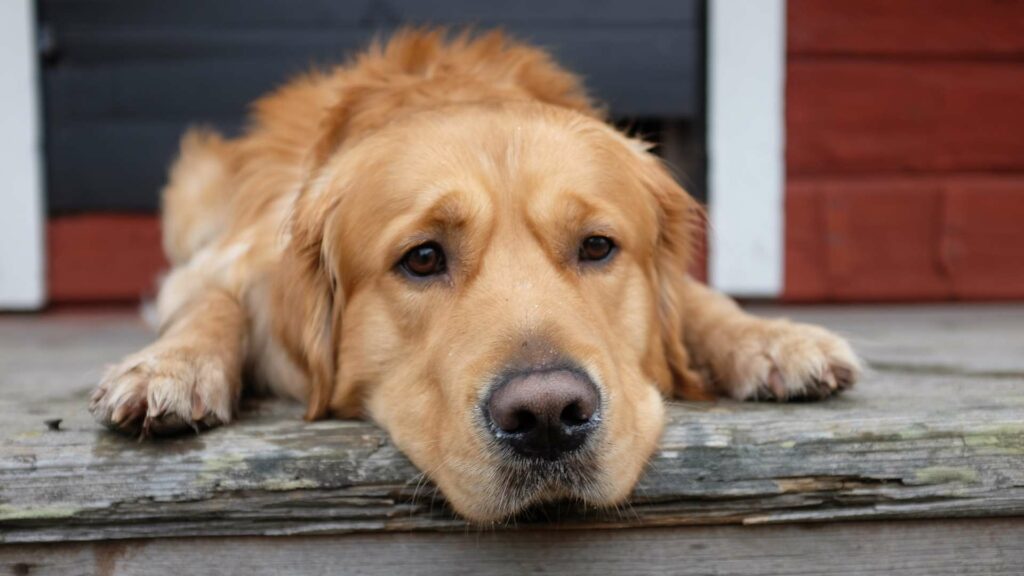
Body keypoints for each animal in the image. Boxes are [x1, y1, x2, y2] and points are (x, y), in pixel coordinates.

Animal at [88, 29, 860, 518]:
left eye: (598, 247)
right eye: (423, 258)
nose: (547, 416)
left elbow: (701, 299)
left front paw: (773, 340)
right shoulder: (219, 264)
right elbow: (212, 301)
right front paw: (173, 368)